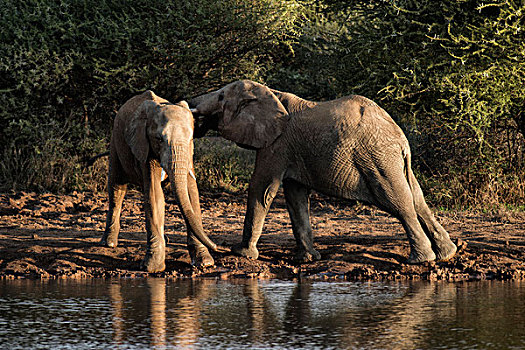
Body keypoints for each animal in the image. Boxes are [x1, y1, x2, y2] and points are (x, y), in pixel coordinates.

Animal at [100, 89, 221, 270]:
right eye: (159, 139)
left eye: (191, 139)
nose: (217, 247)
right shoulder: (145, 148)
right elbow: (155, 195)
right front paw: (152, 268)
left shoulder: (189, 154)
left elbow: (191, 194)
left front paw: (205, 262)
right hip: (115, 140)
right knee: (116, 188)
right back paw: (109, 244)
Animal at [188, 80, 454, 264]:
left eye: (221, 96)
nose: (193, 113)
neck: (268, 91)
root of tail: (401, 139)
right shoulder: (292, 150)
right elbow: (295, 196)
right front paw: (307, 259)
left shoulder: (278, 143)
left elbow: (262, 189)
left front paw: (242, 254)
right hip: (390, 160)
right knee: (417, 198)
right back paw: (446, 254)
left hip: (377, 158)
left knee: (399, 202)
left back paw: (421, 260)